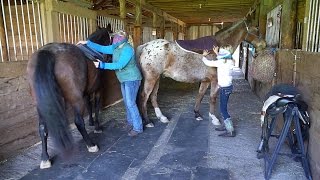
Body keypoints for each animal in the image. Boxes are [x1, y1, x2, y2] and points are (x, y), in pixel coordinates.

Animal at [26, 27, 112, 169]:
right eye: (111, 38)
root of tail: (49, 51)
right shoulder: (97, 90)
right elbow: (95, 107)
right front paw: (97, 126)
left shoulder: (85, 92)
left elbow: (89, 105)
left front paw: (91, 122)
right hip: (75, 99)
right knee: (78, 122)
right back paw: (91, 145)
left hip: (40, 105)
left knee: (42, 128)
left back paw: (45, 158)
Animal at [136, 18, 266, 126]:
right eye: (256, 29)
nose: (264, 45)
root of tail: (145, 46)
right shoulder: (214, 81)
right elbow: (212, 98)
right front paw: (214, 118)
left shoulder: (205, 81)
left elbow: (200, 95)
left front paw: (197, 114)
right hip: (151, 78)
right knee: (144, 96)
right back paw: (148, 121)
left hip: (157, 78)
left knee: (153, 96)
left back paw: (162, 117)